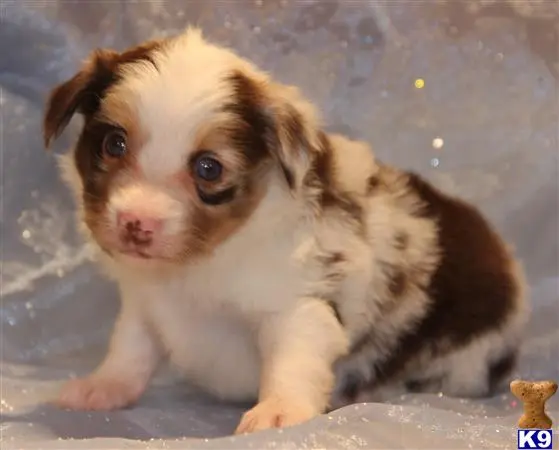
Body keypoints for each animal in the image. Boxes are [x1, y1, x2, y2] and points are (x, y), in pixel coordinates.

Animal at [42, 27, 528, 432]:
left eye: (208, 168)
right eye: (114, 143)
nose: (135, 222)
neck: (204, 260)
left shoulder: (298, 306)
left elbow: (292, 362)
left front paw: (280, 411)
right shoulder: (144, 301)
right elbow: (131, 348)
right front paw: (103, 386)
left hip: (468, 360)